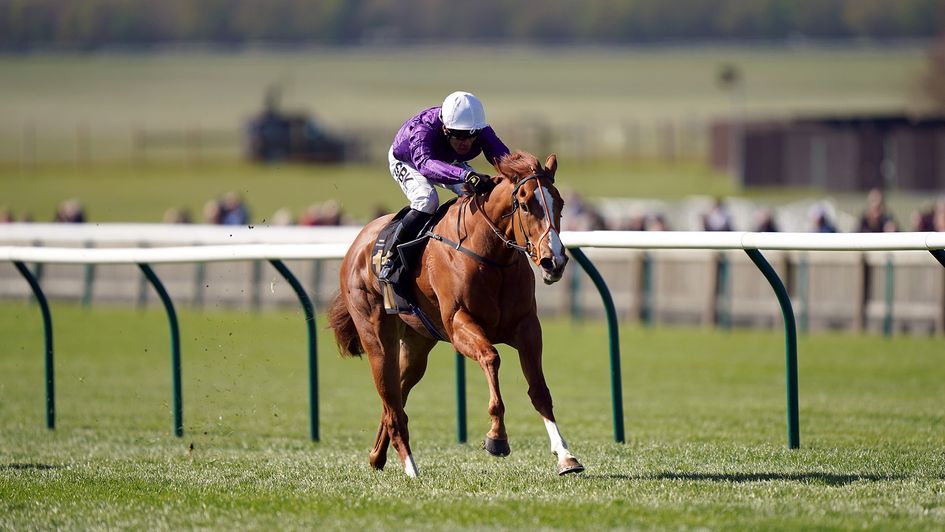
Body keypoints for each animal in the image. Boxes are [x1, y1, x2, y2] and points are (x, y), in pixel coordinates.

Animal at [330, 151, 584, 478]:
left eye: (560, 203)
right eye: (526, 205)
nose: (555, 261)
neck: (490, 256)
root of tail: (358, 242)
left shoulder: (527, 327)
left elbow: (539, 390)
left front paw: (566, 456)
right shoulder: (459, 323)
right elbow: (491, 357)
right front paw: (497, 438)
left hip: (417, 345)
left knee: (395, 398)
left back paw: (377, 456)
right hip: (375, 336)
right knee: (391, 399)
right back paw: (411, 468)